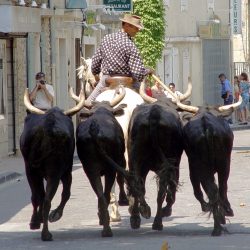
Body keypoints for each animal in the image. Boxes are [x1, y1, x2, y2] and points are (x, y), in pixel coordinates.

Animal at [19, 108, 74, 241]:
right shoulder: (66, 171)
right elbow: (64, 193)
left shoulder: (30, 170)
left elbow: (38, 196)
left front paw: (35, 221)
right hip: (56, 172)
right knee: (49, 199)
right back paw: (48, 228)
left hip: (37, 172)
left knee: (42, 198)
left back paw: (42, 230)